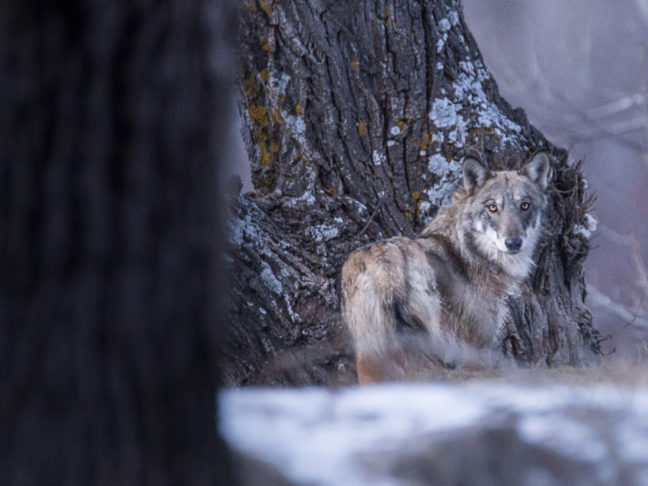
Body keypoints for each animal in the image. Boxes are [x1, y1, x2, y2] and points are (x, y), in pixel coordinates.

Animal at [341, 152, 551, 384]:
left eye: (525, 205)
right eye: (492, 207)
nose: (513, 243)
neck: (471, 253)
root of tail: (382, 258)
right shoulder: (475, 352)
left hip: (371, 357)